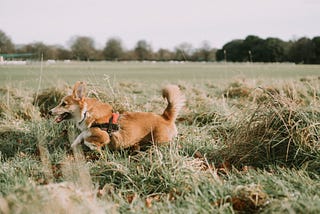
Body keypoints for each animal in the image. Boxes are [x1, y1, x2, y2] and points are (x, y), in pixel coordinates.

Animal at [49, 81, 185, 150]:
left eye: (64, 104)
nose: (50, 112)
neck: (86, 112)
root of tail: (165, 117)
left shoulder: (103, 135)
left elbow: (88, 140)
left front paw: (94, 146)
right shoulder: (86, 131)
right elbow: (81, 136)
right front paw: (72, 147)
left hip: (158, 141)